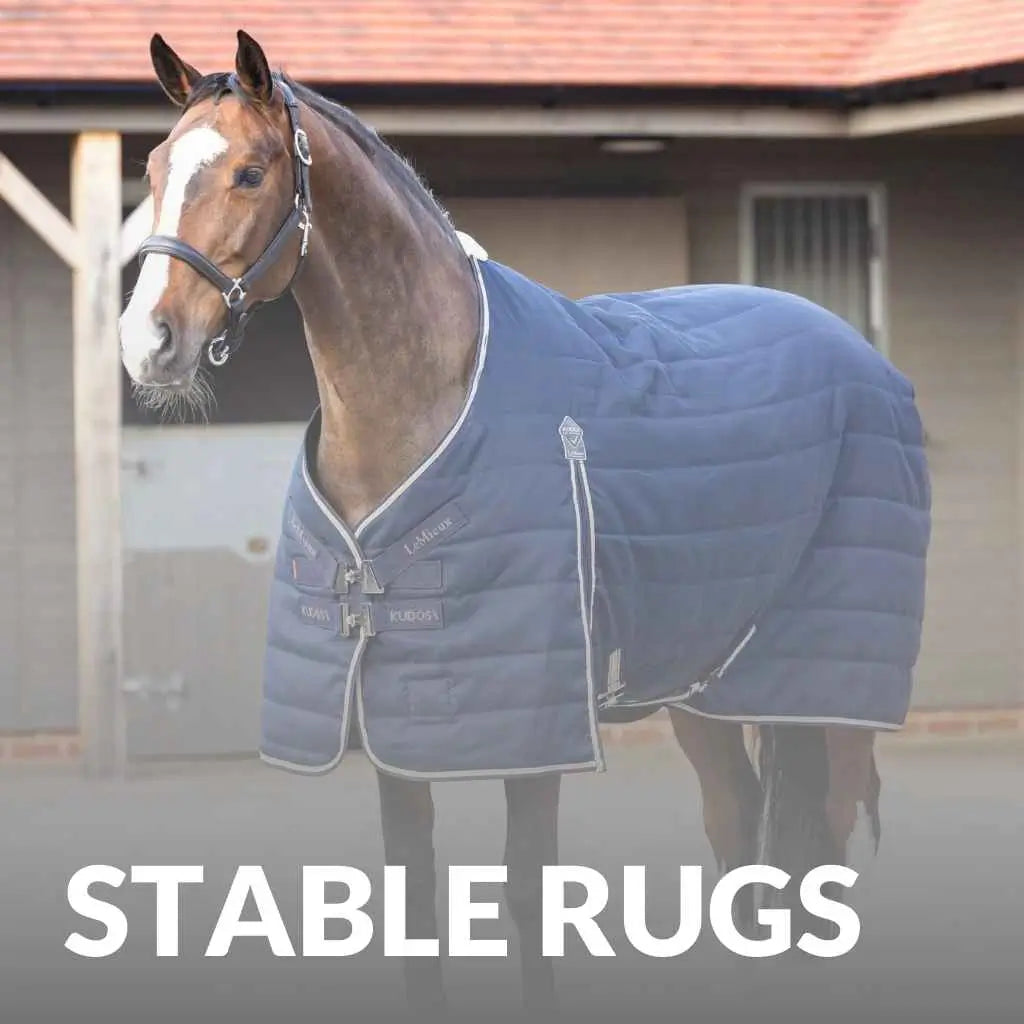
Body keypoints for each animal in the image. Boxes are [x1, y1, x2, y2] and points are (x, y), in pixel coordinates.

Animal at [118, 30, 930, 1014]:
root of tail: (861, 354)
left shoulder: (537, 725)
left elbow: (528, 900)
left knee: (829, 850)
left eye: (248, 171)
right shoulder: (398, 722)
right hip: (705, 683)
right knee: (739, 833)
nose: (147, 342)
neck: (432, 401)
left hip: (832, 690)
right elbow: (417, 904)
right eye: (155, 168)